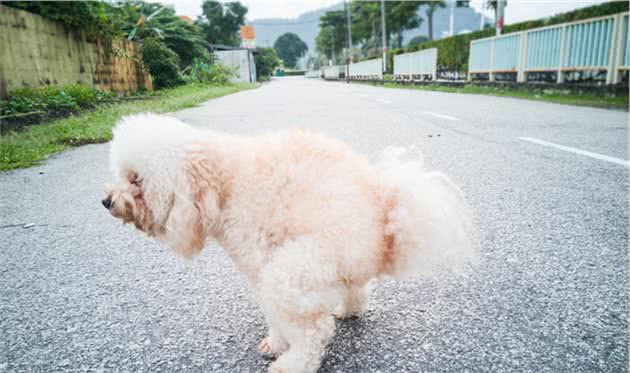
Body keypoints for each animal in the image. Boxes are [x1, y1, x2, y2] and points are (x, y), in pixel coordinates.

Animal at [102, 113, 474, 372]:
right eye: (121, 174)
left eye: (136, 180)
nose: (106, 201)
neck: (223, 184)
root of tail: (386, 223)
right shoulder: (258, 270)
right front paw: (276, 340)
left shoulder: (263, 260)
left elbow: (279, 314)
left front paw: (281, 344)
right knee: (354, 290)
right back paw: (349, 310)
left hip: (299, 266)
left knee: (315, 330)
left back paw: (294, 363)